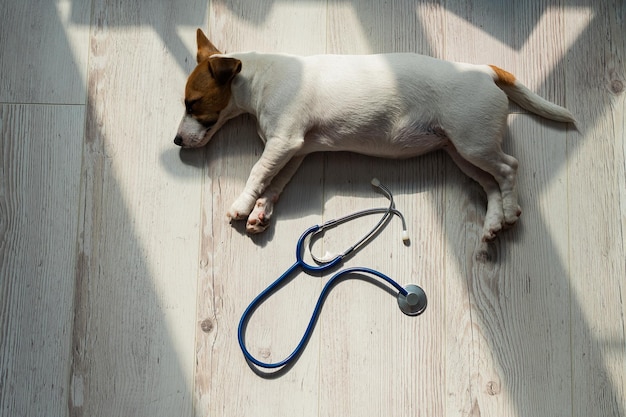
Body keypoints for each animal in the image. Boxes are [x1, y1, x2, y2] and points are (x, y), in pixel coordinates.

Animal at [173, 29, 572, 240]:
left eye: (192, 103)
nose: (176, 142)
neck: (258, 79)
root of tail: (485, 70)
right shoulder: (295, 151)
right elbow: (275, 184)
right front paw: (259, 212)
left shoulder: (283, 143)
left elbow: (257, 174)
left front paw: (242, 206)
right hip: (462, 152)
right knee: (489, 183)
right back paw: (492, 222)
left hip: (474, 144)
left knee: (508, 168)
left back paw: (510, 211)